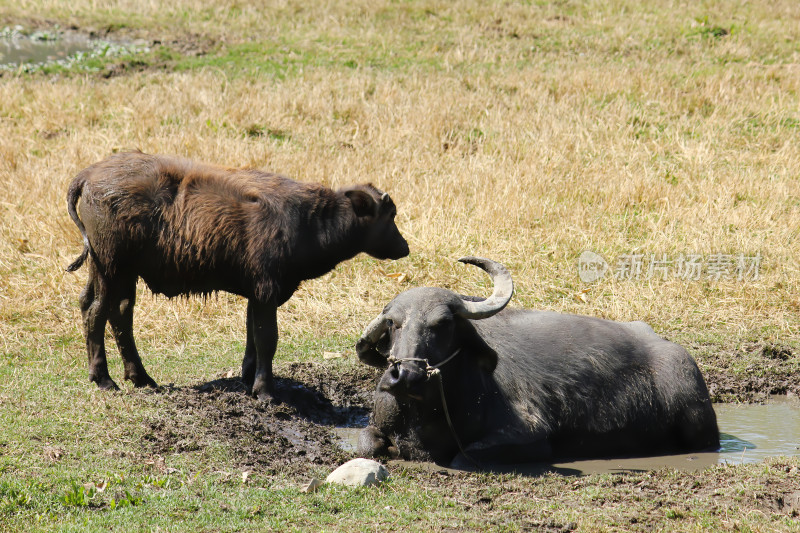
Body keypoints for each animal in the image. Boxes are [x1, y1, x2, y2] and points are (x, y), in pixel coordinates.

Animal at [65, 150, 410, 400]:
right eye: (389, 216)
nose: (404, 247)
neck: (310, 220)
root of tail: (89, 175)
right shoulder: (267, 291)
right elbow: (267, 338)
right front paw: (266, 392)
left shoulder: (257, 294)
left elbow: (251, 337)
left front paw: (248, 378)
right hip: (111, 267)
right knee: (97, 311)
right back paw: (104, 379)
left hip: (115, 271)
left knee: (113, 311)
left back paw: (141, 377)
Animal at [356, 258, 720, 466]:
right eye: (393, 323)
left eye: (442, 323)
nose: (406, 375)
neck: (424, 412)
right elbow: (366, 445)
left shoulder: (531, 437)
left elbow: (462, 456)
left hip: (699, 423)